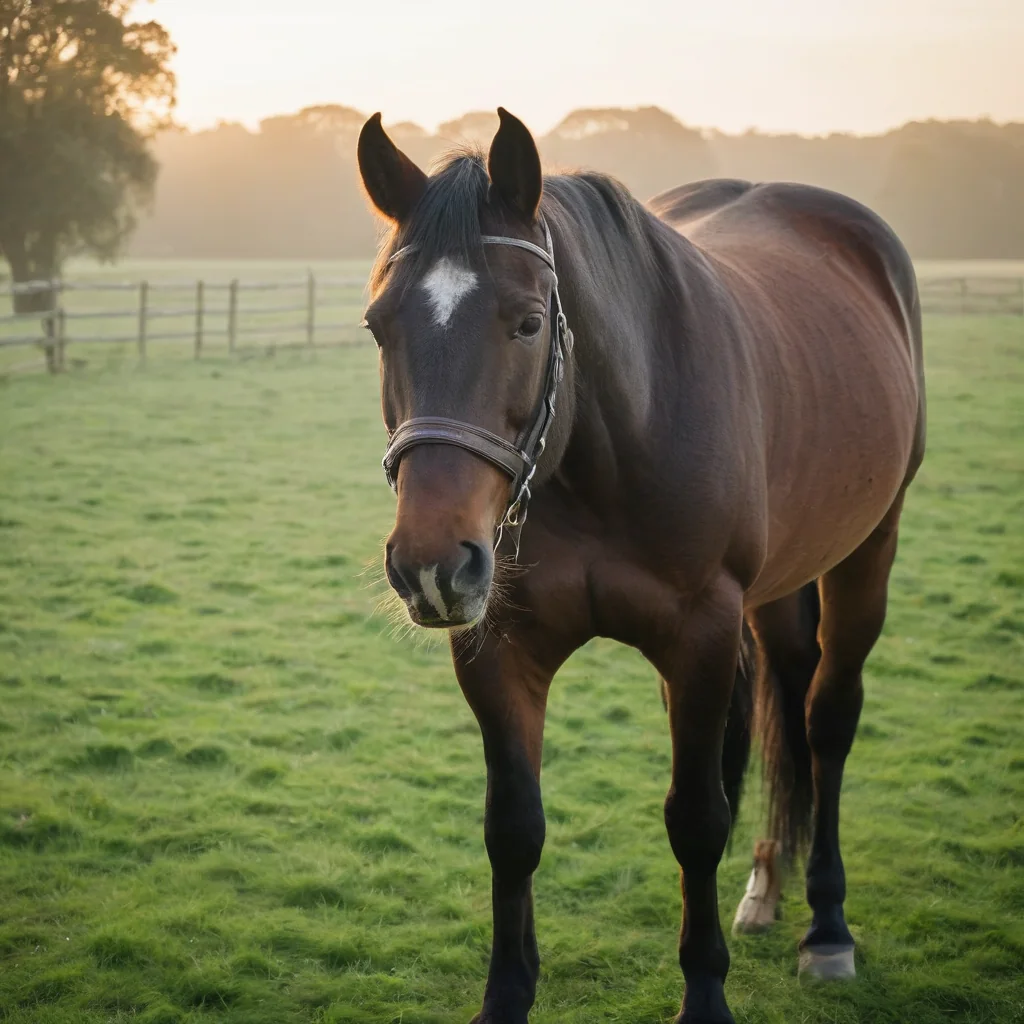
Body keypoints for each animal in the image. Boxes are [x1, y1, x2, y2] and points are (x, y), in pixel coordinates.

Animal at [356, 108, 925, 1024]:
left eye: (527, 322)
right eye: (380, 326)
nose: (432, 564)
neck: (602, 449)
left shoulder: (700, 635)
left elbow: (695, 817)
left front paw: (706, 996)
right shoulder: (500, 649)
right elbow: (513, 827)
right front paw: (506, 993)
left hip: (869, 549)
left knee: (826, 720)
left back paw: (827, 926)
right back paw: (766, 889)